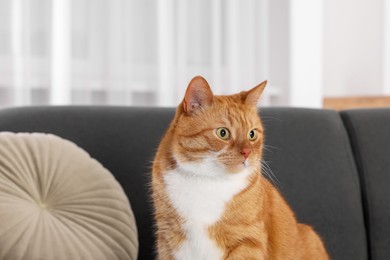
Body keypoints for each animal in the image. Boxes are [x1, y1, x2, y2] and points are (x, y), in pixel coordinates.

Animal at [151, 76, 328, 258]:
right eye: (223, 133)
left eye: (252, 134)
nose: (247, 152)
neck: (208, 180)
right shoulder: (167, 240)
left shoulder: (248, 241)